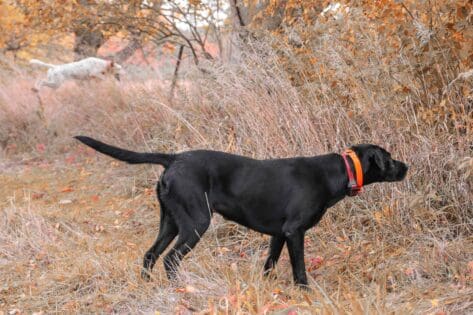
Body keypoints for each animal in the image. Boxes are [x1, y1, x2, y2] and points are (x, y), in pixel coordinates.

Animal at [75, 137, 408, 288]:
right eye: (390, 158)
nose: (407, 167)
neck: (335, 173)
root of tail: (174, 159)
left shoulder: (279, 234)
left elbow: (269, 263)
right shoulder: (294, 231)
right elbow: (299, 268)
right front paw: (305, 292)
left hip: (170, 222)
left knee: (150, 254)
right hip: (195, 223)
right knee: (171, 259)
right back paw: (182, 288)